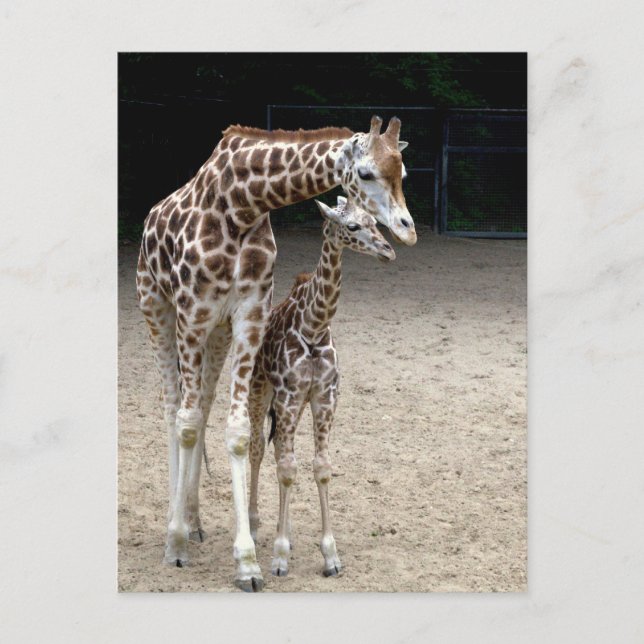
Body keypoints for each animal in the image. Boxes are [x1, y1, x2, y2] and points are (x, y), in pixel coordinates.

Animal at [247, 195, 396, 578]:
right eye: (352, 226)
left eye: (374, 221)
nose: (388, 251)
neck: (313, 326)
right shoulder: (286, 397)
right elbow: (287, 468)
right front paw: (279, 557)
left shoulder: (324, 397)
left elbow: (320, 467)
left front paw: (330, 555)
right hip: (259, 391)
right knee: (258, 448)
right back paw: (254, 525)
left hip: (293, 405)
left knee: (280, 452)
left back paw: (287, 530)